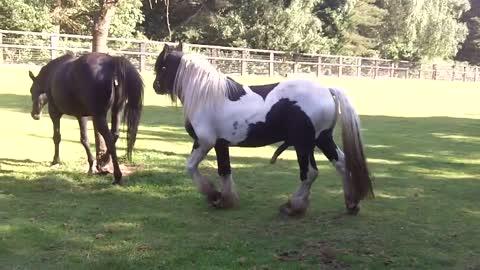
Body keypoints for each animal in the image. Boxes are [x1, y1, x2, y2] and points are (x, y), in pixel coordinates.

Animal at [28, 51, 143, 185]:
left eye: (32, 90)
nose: (35, 114)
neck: (51, 75)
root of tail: (112, 62)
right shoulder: (82, 116)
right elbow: (84, 139)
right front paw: (92, 165)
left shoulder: (54, 113)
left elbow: (57, 137)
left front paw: (55, 160)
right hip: (116, 111)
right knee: (115, 135)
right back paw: (103, 162)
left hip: (99, 117)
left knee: (109, 139)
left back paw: (117, 175)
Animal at [154, 44, 376, 217]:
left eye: (161, 66)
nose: (155, 86)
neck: (207, 96)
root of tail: (327, 90)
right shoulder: (220, 144)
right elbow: (225, 171)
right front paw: (225, 199)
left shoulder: (204, 142)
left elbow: (191, 167)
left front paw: (213, 195)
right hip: (321, 139)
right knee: (342, 164)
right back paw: (351, 204)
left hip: (303, 145)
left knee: (309, 173)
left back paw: (293, 207)